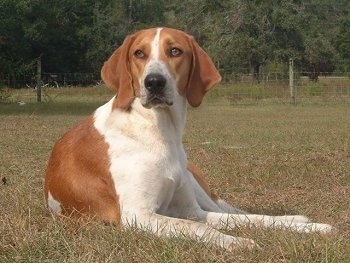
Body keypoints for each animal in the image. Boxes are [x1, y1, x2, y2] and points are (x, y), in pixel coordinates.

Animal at [43, 27, 330, 252]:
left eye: (175, 51)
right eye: (139, 53)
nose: (154, 82)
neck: (159, 131)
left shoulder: (190, 210)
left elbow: (231, 221)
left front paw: (309, 226)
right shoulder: (139, 216)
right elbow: (198, 228)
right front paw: (236, 242)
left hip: (195, 183)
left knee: (236, 213)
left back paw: (298, 220)